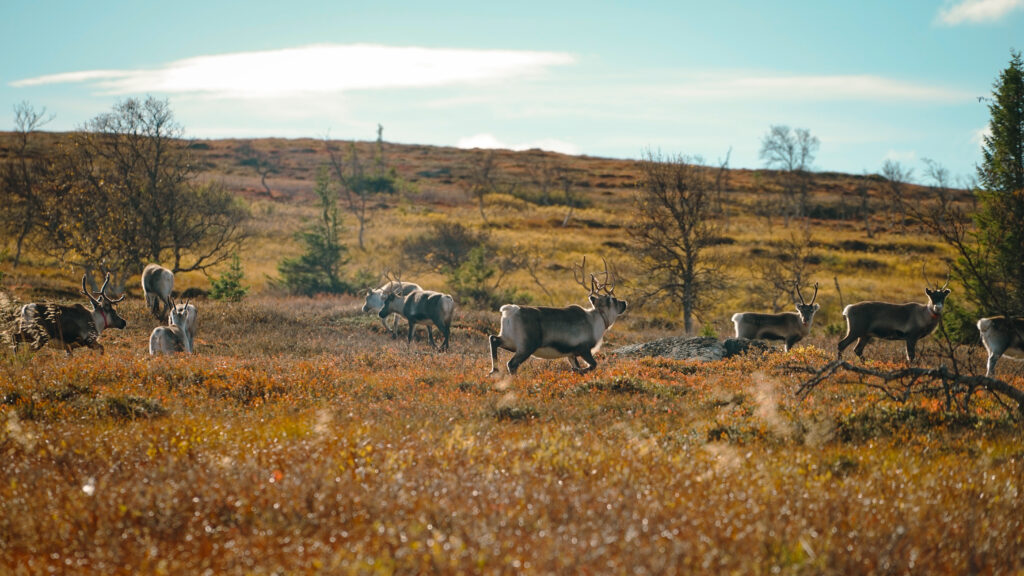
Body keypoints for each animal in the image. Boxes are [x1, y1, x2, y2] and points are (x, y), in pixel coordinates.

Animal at [488, 257, 627, 375]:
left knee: (493, 339)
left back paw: (494, 370)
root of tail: (509, 310)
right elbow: (593, 365)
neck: (596, 321)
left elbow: (577, 367)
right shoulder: (583, 349)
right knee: (512, 364)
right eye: (613, 300)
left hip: (510, 341)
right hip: (526, 346)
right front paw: (580, 370)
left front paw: (576, 371)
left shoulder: (571, 354)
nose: (625, 303)